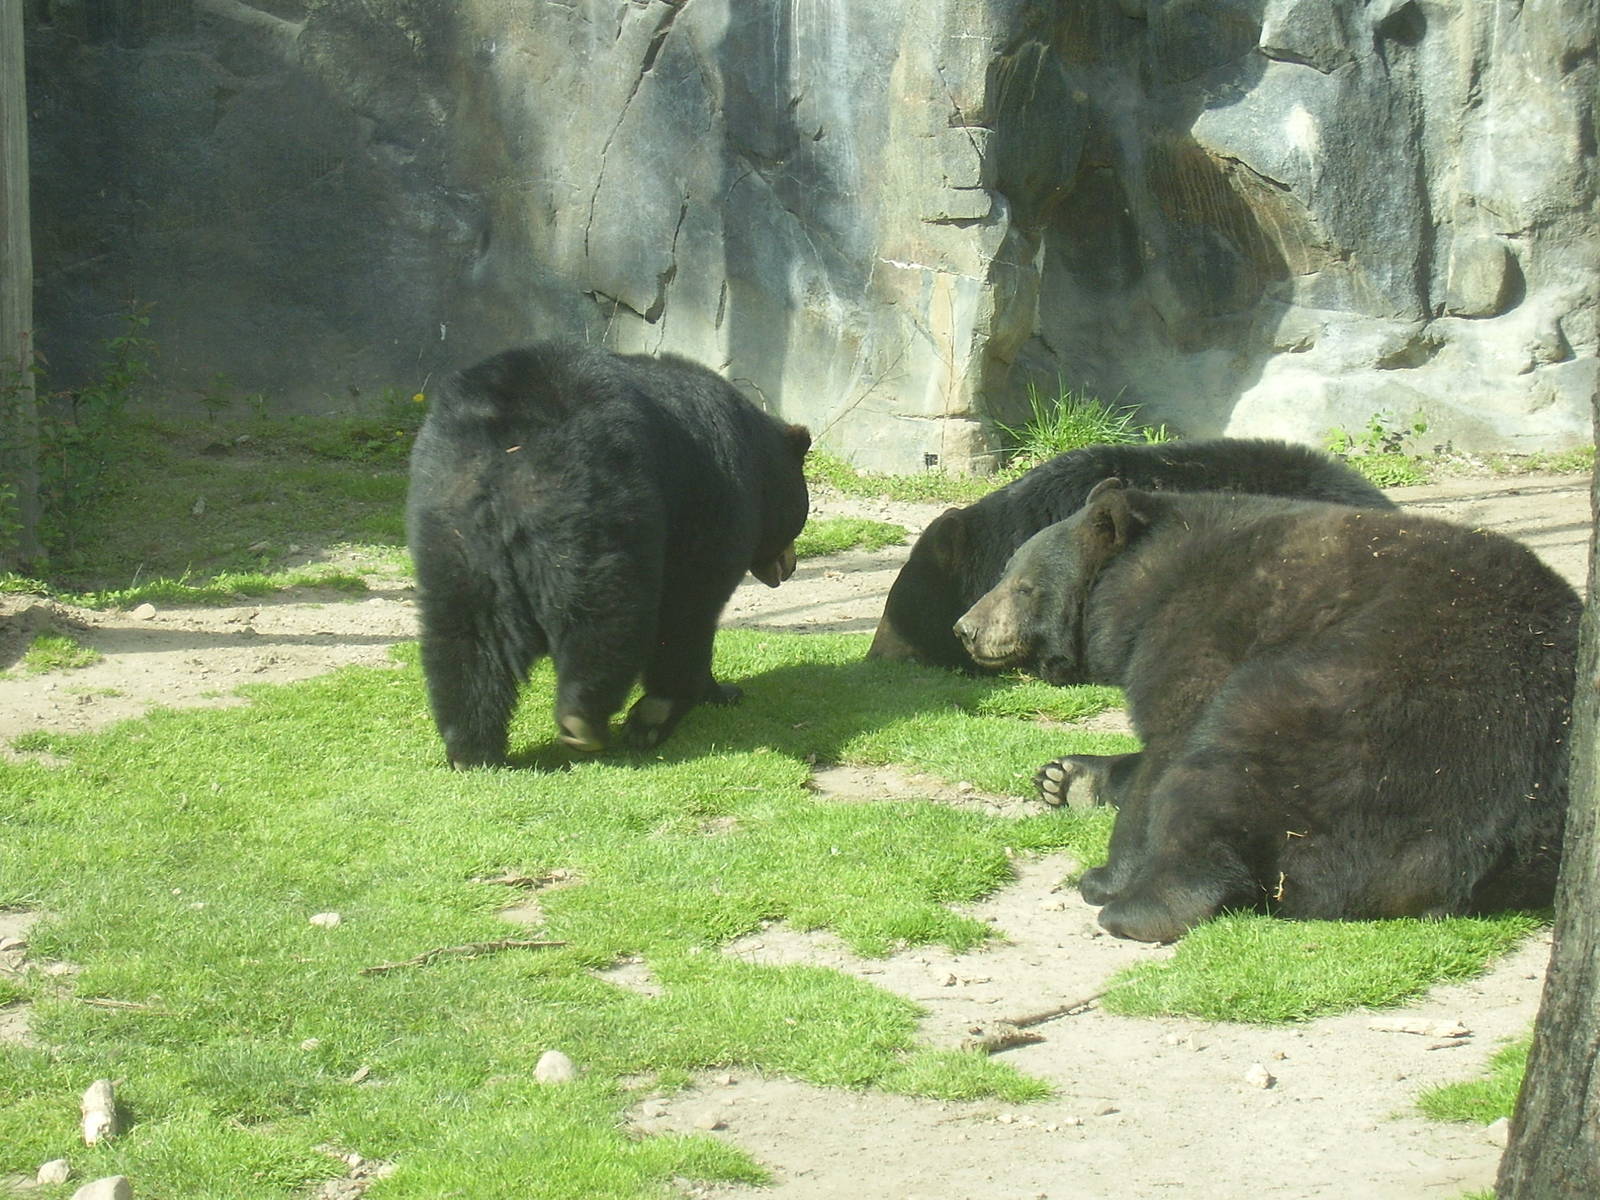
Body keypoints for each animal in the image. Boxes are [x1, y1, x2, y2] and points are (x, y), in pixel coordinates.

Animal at [406, 340, 812, 768]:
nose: (790, 566)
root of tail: (506, 452)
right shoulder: (713, 497)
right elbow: (689, 608)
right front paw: (677, 704)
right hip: (593, 499)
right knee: (605, 610)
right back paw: (583, 719)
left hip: (452, 521)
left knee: (467, 629)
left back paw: (470, 746)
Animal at [953, 479, 1579, 942]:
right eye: (1005, 572)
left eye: (1023, 585)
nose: (966, 628)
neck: (1140, 587)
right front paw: (1066, 776)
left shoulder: (1201, 623)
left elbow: (1174, 734)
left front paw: (1109, 871)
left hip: (1372, 710)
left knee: (1225, 767)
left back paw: (1139, 905)